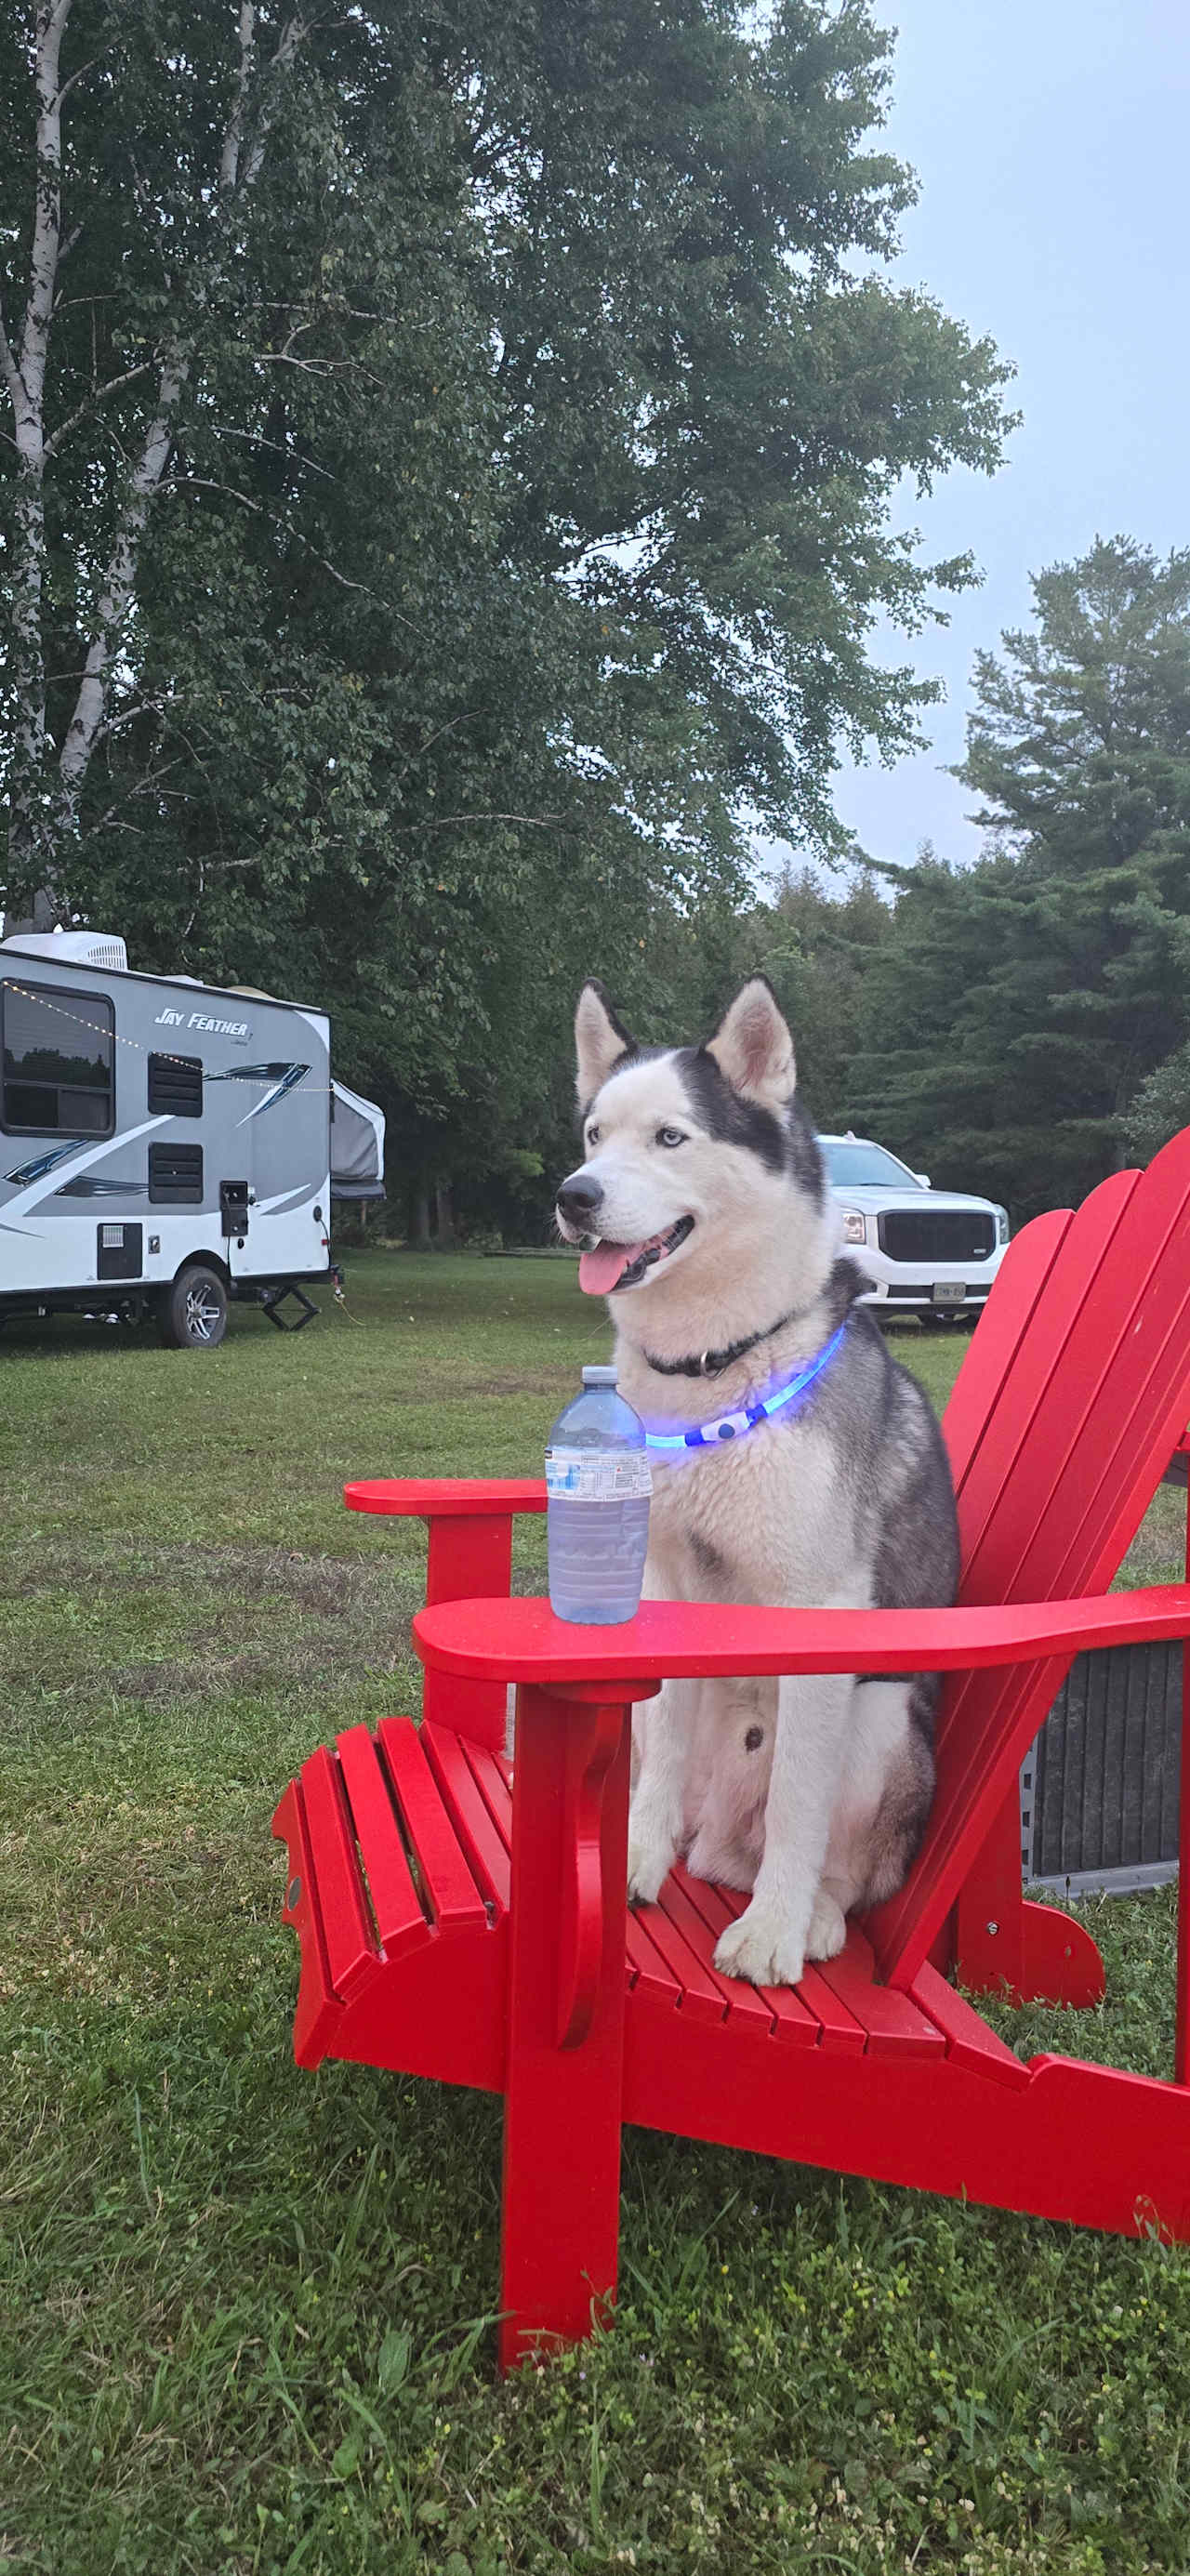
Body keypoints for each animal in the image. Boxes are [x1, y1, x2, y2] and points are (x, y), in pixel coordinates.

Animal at [556, 973, 958, 1978]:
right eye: (593, 1135)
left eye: (670, 1137)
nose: (573, 1195)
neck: (712, 1362)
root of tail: (720, 1847)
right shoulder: (662, 1585)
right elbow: (657, 1764)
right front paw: (632, 1857)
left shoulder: (819, 1614)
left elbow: (800, 1807)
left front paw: (772, 1930)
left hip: (879, 1718)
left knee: (845, 1868)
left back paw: (811, 1916)